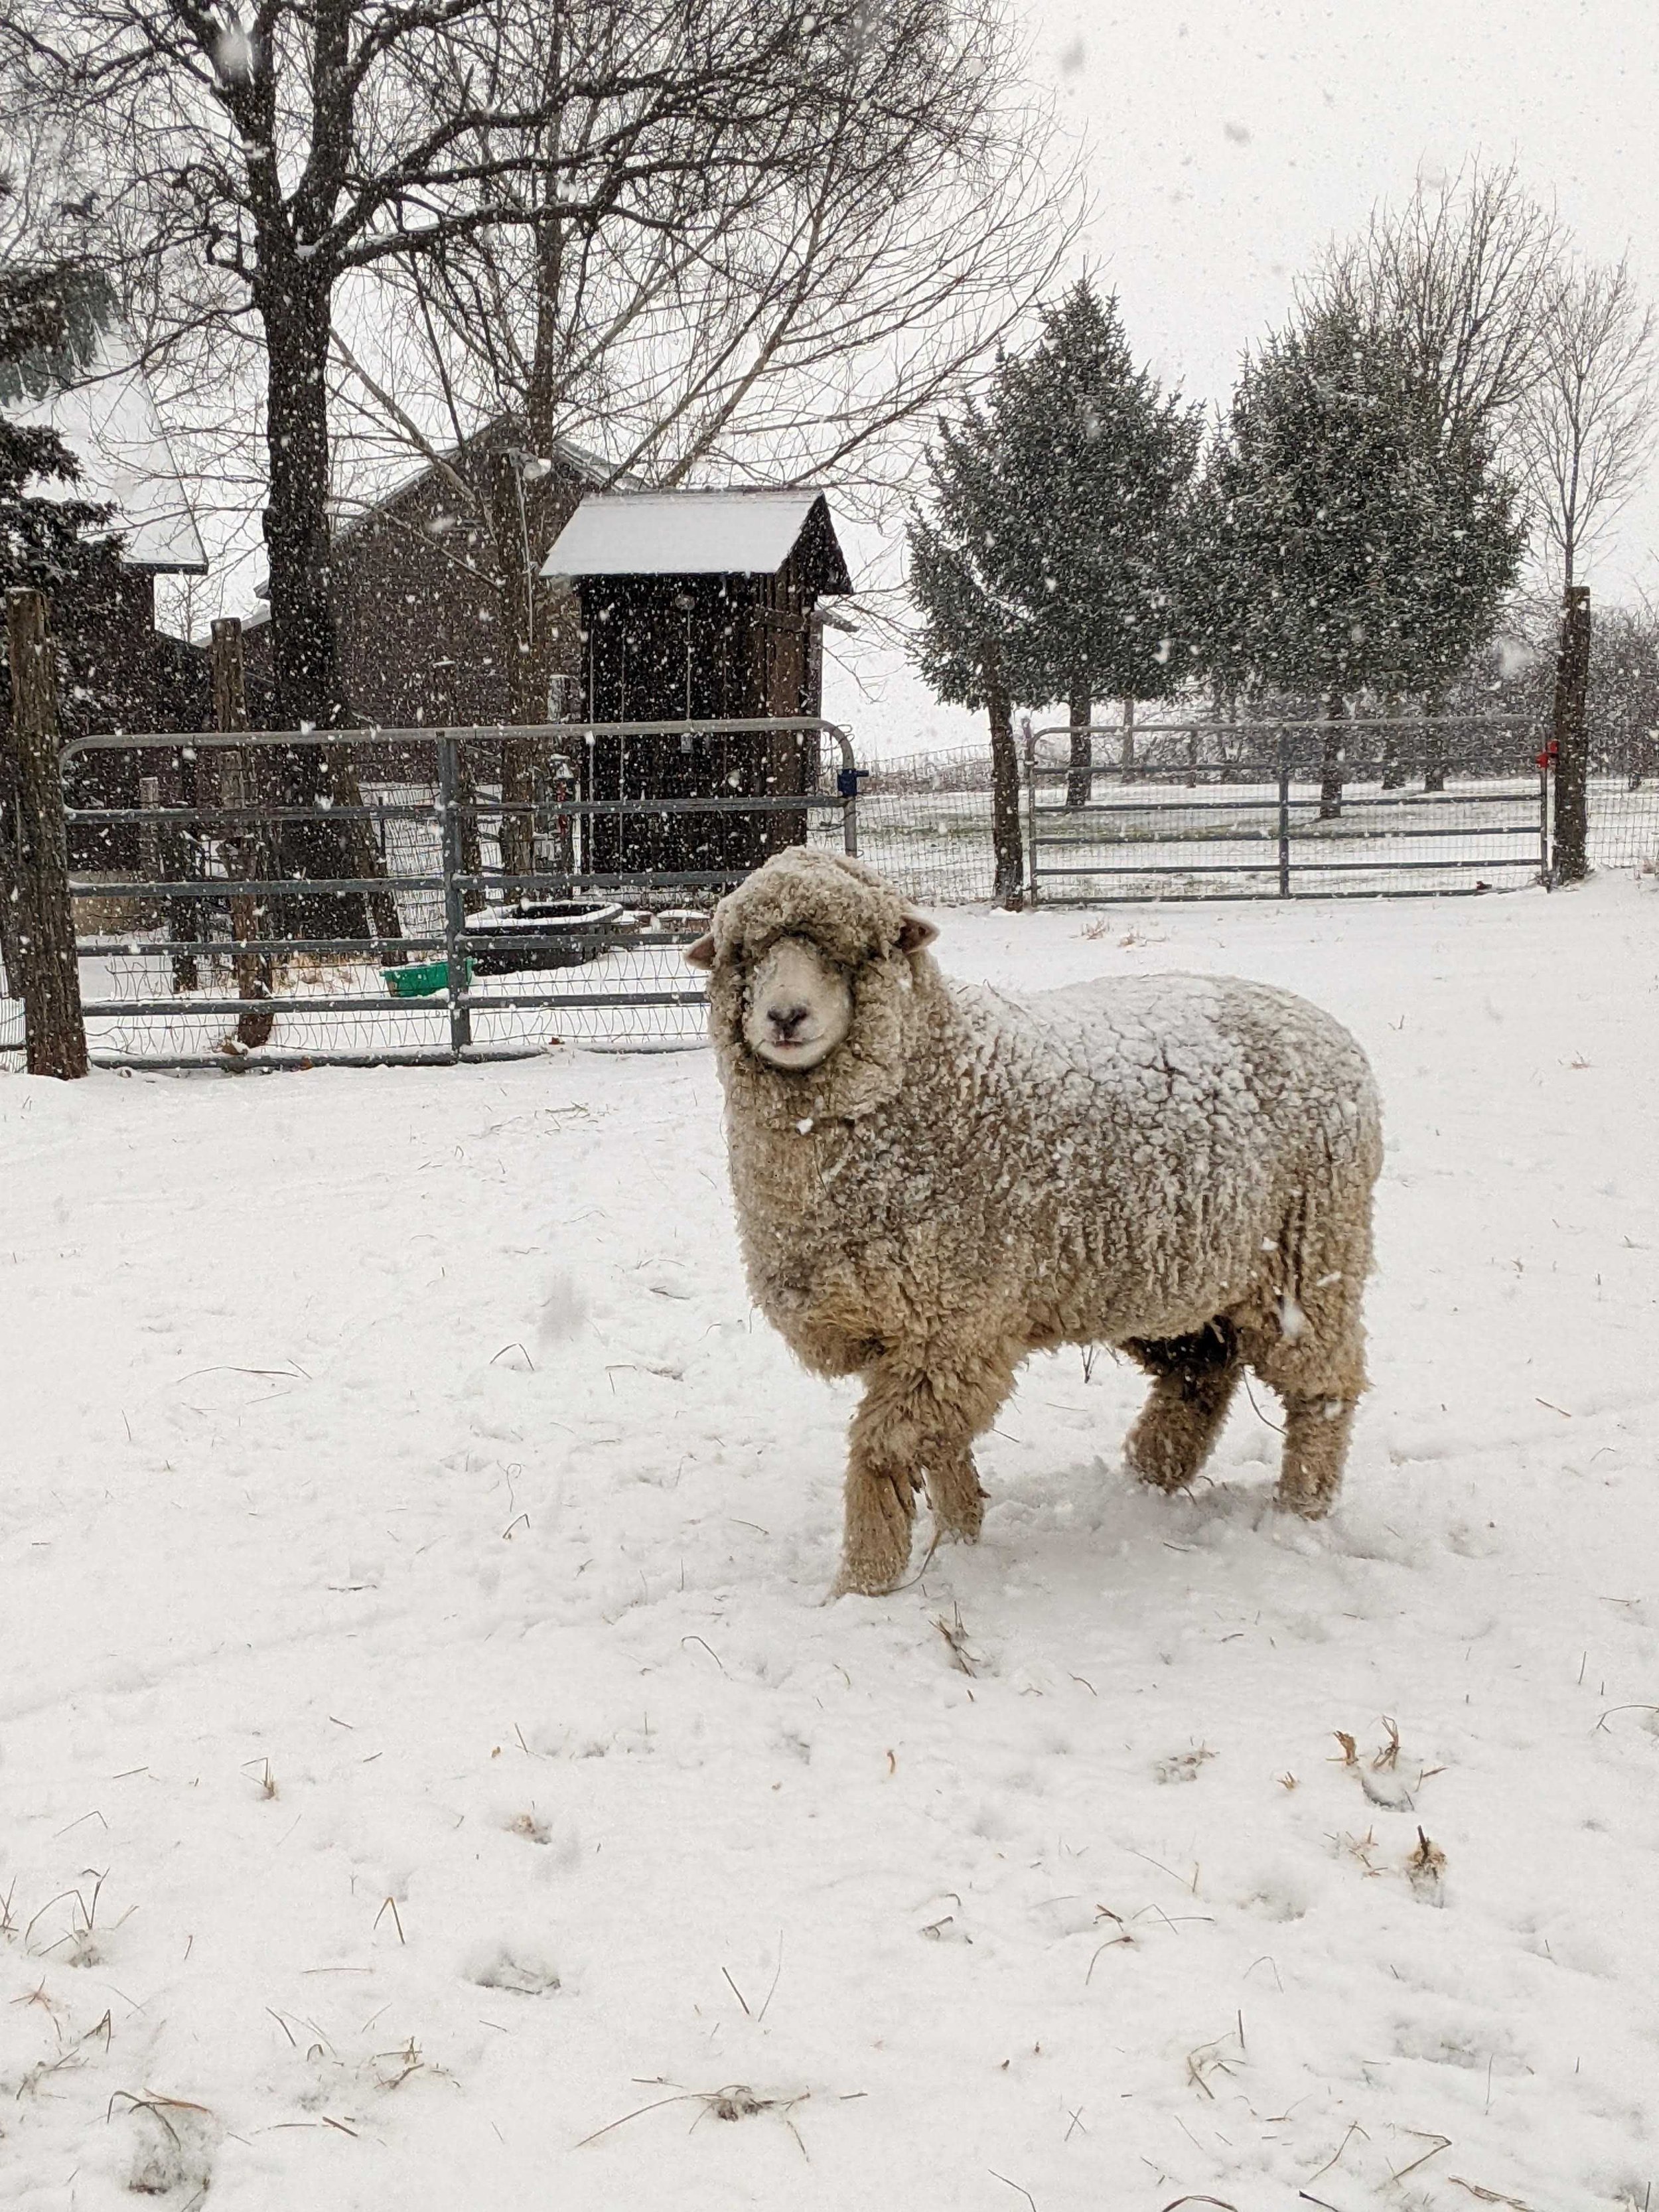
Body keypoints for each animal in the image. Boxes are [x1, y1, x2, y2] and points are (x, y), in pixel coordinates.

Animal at [681, 840, 1380, 1592]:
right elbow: (940, 1443)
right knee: (1201, 1371)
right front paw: (962, 1534)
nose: (785, 1017)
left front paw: (867, 1582)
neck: (934, 1076)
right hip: (1169, 1275)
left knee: (1322, 1388)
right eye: (744, 952)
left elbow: (884, 1448)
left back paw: (1299, 1509)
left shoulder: (954, 1323)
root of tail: (1325, 1025)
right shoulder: (907, 1330)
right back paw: (1152, 1472)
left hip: (1310, 1257)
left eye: (859, 951)